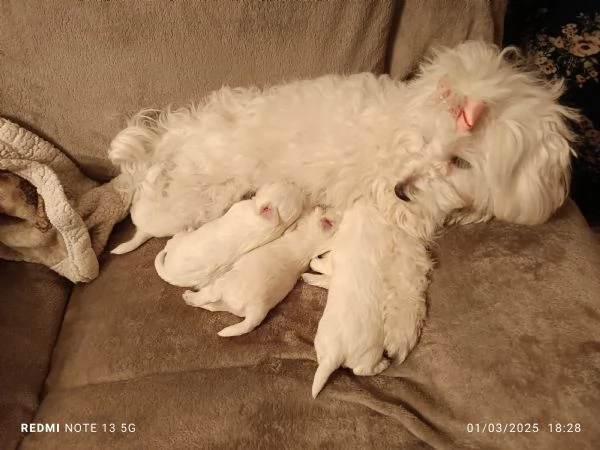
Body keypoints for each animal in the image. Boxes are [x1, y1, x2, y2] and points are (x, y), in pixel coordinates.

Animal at [155, 183, 304, 288]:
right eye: (287, 184)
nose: (294, 182)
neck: (274, 224)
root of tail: (170, 275)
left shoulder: (238, 207)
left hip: (177, 241)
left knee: (170, 243)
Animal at [180, 206, 340, 336]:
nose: (316, 206)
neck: (312, 244)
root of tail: (255, 311)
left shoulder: (291, 234)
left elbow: (289, 229)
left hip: (223, 284)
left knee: (209, 295)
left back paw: (190, 296)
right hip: (227, 304)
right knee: (211, 305)